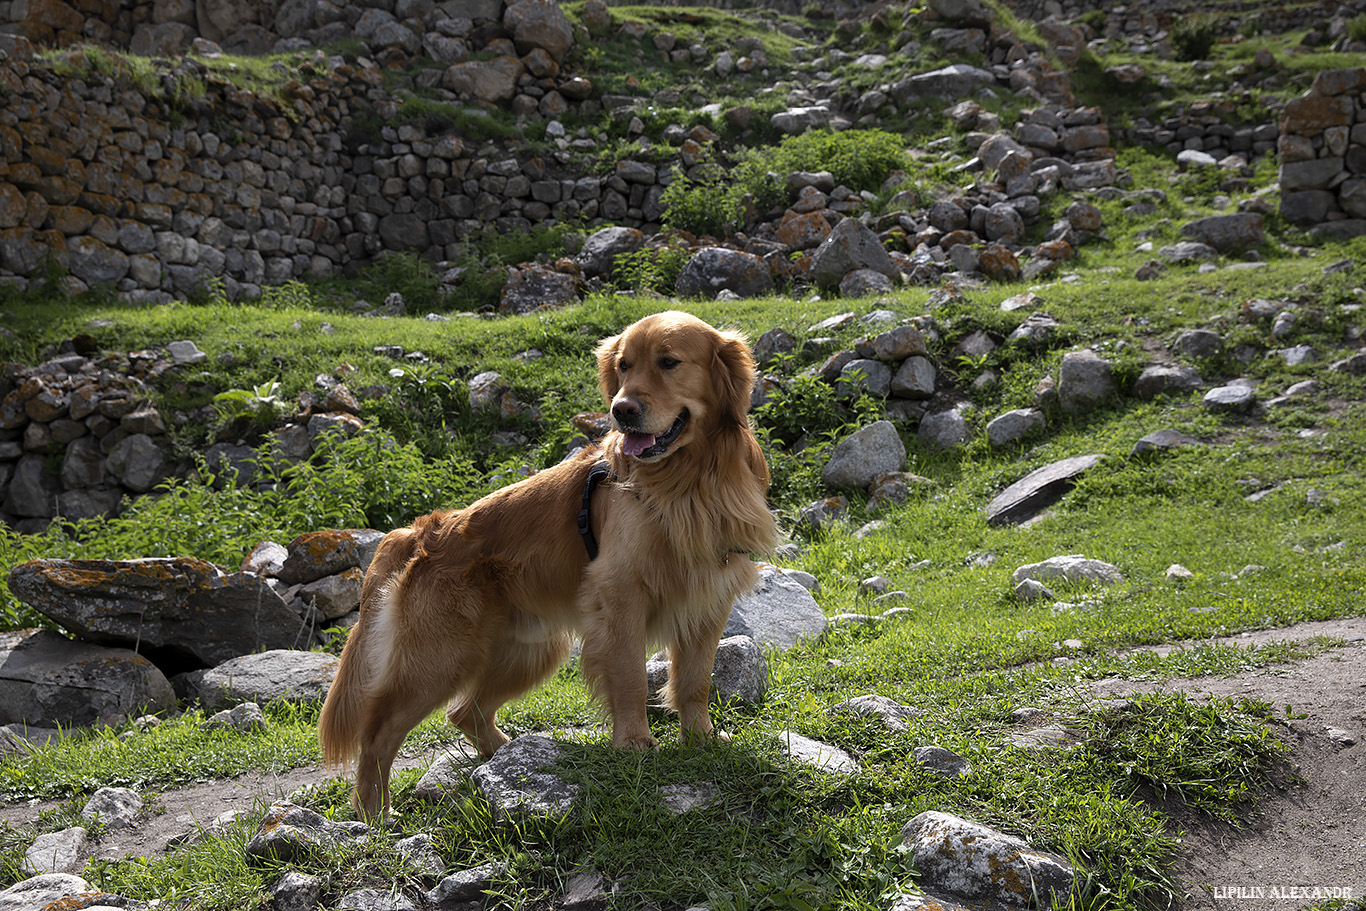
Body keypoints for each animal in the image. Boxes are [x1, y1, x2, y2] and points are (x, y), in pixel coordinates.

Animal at [312, 314, 775, 819]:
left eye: (668, 362)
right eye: (624, 366)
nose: (621, 410)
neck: (688, 480)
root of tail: (421, 532)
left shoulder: (709, 597)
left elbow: (694, 681)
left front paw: (701, 740)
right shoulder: (620, 598)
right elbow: (631, 678)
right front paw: (634, 744)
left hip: (531, 650)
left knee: (464, 711)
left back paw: (509, 757)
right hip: (438, 659)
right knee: (378, 734)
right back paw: (374, 813)